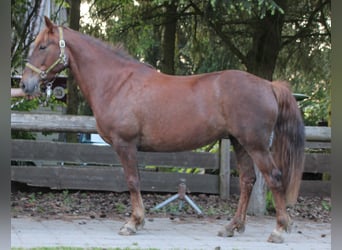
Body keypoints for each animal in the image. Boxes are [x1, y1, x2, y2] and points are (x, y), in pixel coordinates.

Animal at [20, 16, 304, 243]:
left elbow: (133, 181)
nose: (25, 84)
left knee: (274, 178)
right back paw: (232, 227)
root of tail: (269, 85)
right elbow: (137, 180)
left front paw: (133, 223)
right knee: (247, 181)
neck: (117, 82)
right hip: (240, 143)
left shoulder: (125, 145)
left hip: (256, 145)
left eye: (43, 46)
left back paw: (279, 229)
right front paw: (138, 221)